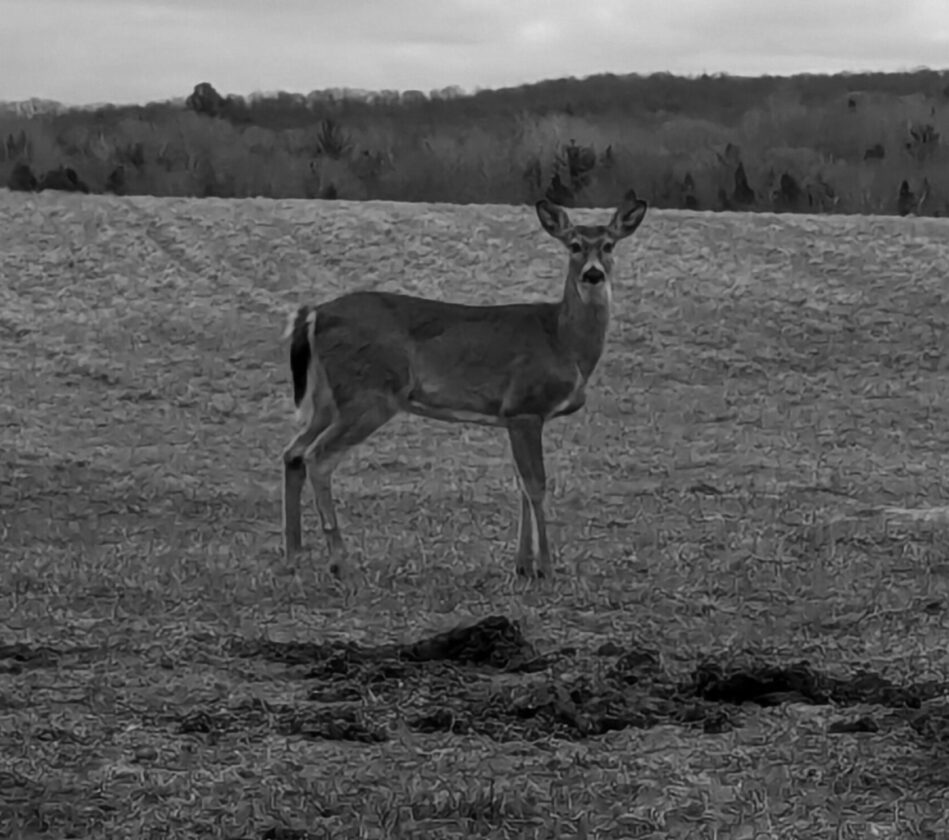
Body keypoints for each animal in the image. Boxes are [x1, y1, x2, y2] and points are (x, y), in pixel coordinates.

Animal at [282, 193, 649, 580]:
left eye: (609, 245)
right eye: (574, 245)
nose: (593, 274)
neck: (564, 341)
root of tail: (315, 313)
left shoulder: (512, 416)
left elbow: (520, 484)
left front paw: (522, 565)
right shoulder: (525, 406)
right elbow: (536, 485)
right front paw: (546, 567)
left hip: (328, 399)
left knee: (293, 452)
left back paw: (293, 556)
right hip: (368, 394)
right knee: (318, 457)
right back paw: (338, 560)